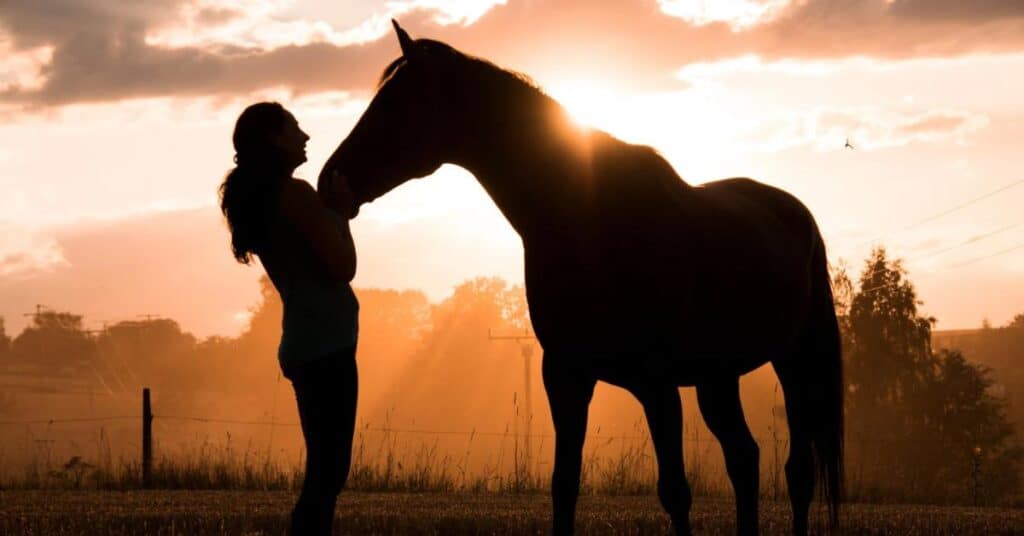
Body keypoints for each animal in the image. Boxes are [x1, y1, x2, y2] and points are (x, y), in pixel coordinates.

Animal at [320, 21, 843, 536]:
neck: (589, 219)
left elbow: (675, 492)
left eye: (395, 104)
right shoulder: (565, 375)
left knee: (796, 473)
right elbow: (564, 485)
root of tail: (793, 211)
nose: (330, 181)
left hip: (795, 361)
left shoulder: (657, 383)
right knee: (744, 458)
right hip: (718, 376)